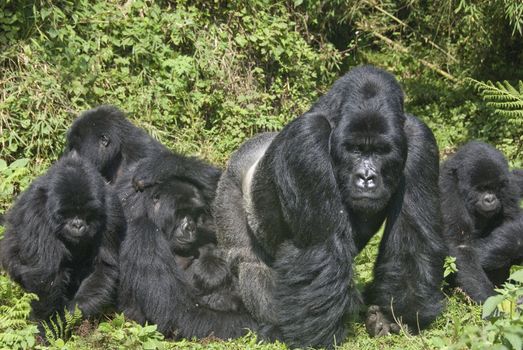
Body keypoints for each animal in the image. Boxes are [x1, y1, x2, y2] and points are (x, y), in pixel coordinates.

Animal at [0, 153, 125, 322]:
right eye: (68, 213)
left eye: (86, 213)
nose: (77, 225)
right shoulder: (36, 209)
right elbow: (45, 275)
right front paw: (47, 323)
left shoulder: (112, 210)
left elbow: (103, 266)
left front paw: (73, 311)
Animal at [213, 65, 446, 348]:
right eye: (355, 150)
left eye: (380, 151)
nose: (366, 178)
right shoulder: (307, 139)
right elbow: (322, 247)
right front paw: (316, 337)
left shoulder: (420, 139)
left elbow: (412, 238)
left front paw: (395, 316)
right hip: (228, 187)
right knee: (248, 261)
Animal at [442, 141, 523, 302]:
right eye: (480, 189)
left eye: (494, 187)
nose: (490, 199)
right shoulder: (448, 190)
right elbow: (461, 245)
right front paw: (491, 299)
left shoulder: (508, 185)